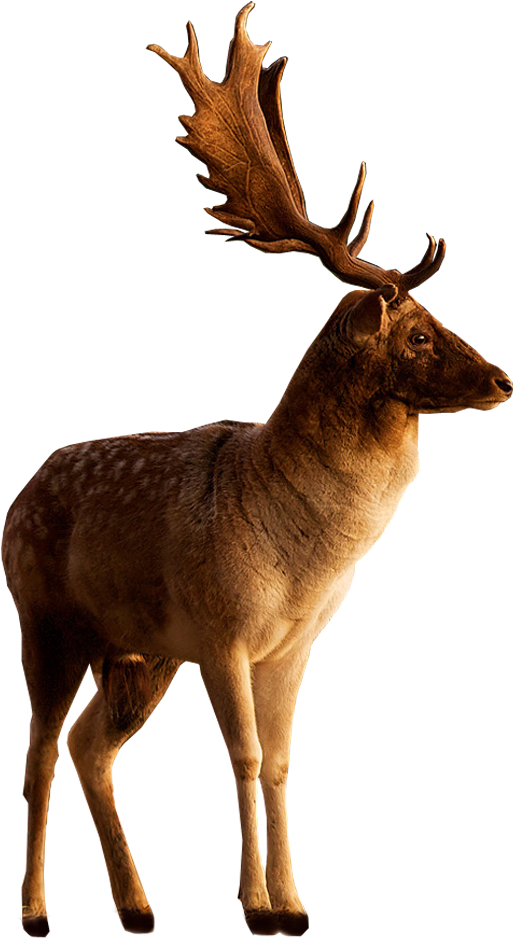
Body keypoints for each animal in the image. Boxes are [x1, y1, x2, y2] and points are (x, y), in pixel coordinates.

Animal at [4, 2, 512, 938]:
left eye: (439, 319)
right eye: (418, 334)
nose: (501, 380)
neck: (308, 554)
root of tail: (16, 499)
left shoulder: (295, 641)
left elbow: (278, 763)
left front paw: (296, 901)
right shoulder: (222, 629)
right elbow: (240, 758)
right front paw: (254, 905)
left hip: (139, 653)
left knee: (91, 745)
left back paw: (137, 906)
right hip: (46, 620)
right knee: (40, 750)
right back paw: (35, 909)